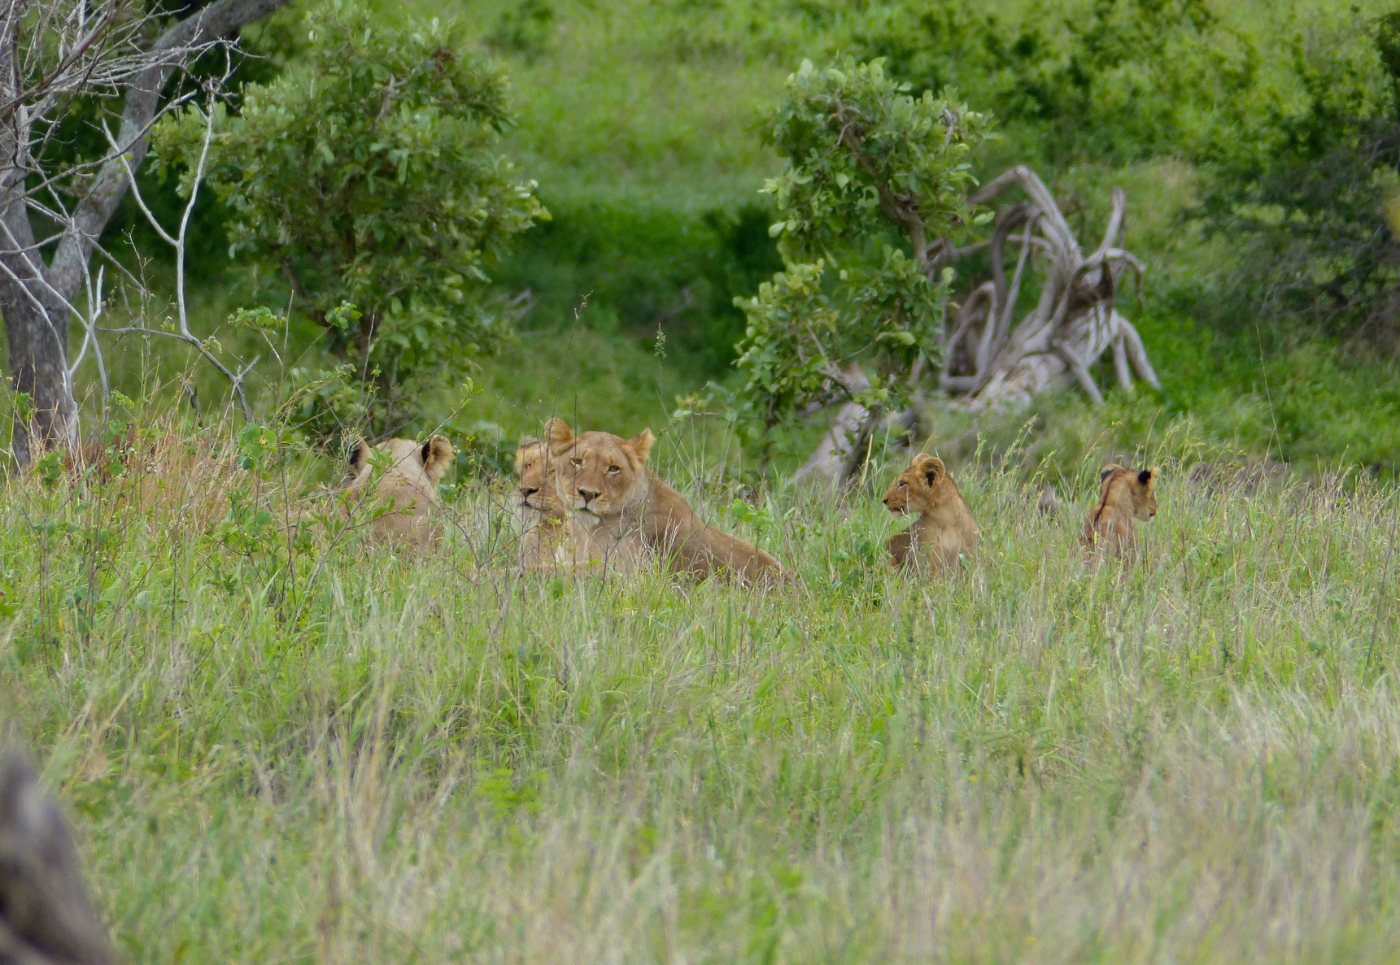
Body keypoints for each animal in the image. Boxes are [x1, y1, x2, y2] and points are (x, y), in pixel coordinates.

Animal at [546, 419, 785, 586]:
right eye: (577, 461)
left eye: (613, 468)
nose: (587, 494)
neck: (583, 530)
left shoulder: (627, 575)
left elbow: (564, 571)